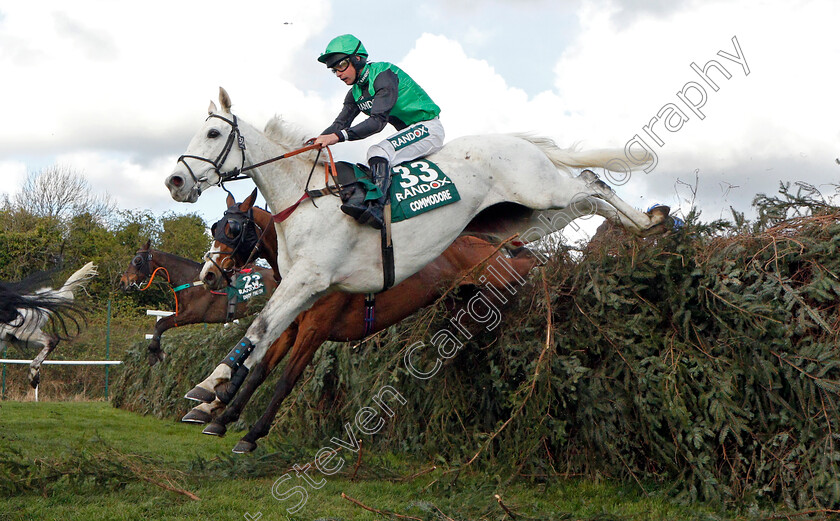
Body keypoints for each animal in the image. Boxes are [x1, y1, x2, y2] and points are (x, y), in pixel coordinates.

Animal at [118, 241, 278, 366]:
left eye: (137, 260)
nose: (123, 282)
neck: (191, 279)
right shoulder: (182, 312)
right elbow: (160, 323)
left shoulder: (193, 314)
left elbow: (161, 324)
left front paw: (154, 352)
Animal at [162, 87, 664, 400]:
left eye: (213, 133)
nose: (175, 181)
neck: (306, 199)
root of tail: (516, 142)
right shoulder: (310, 291)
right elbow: (267, 338)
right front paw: (215, 396)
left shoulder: (310, 279)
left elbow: (261, 327)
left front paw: (210, 388)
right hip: (532, 216)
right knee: (587, 198)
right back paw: (646, 225)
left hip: (543, 193)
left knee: (590, 182)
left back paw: (651, 221)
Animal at [188, 189, 540, 452]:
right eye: (215, 228)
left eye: (233, 230)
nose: (208, 275)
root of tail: (482, 242)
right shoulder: (291, 327)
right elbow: (260, 371)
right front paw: (221, 416)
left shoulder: (314, 331)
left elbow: (286, 380)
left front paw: (251, 434)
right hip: (459, 296)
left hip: (494, 276)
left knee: (524, 265)